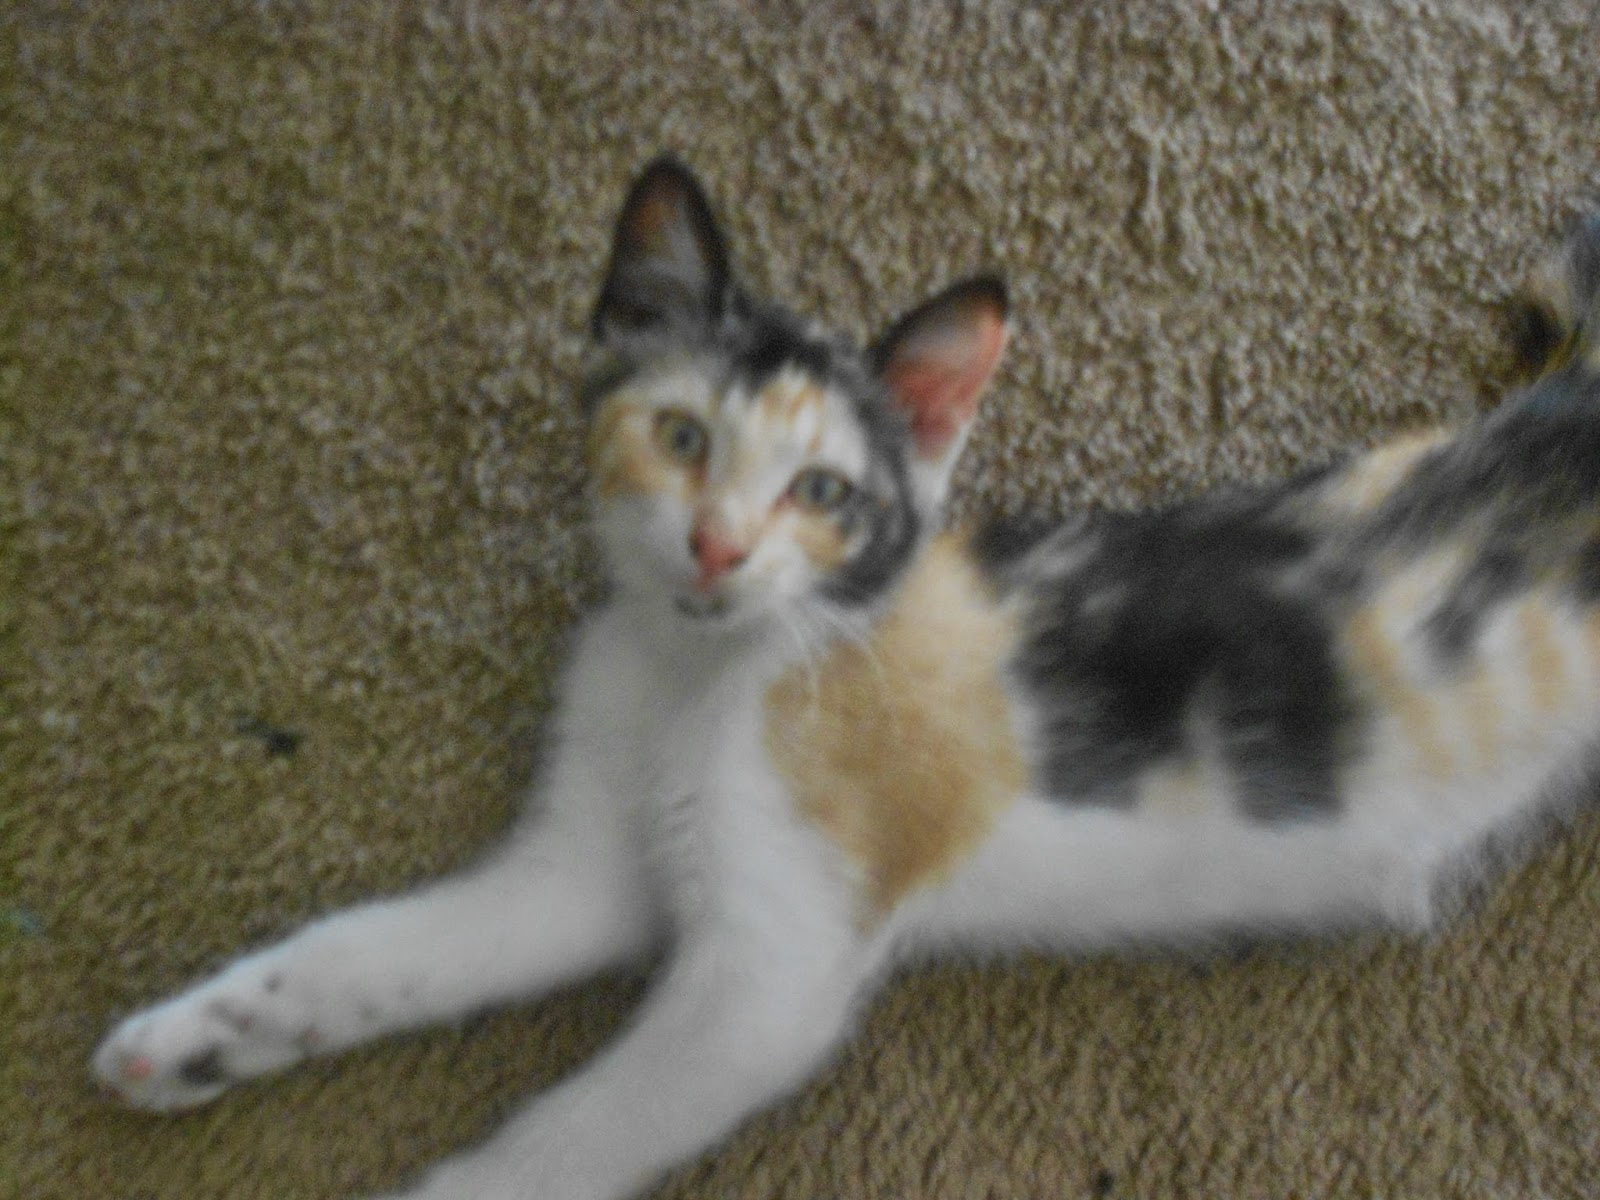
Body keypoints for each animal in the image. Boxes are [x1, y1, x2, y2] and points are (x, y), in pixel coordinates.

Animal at [93, 158, 1600, 1200]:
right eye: (681, 438)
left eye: (821, 491)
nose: (716, 545)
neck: (701, 672)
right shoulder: (576, 874)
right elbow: (376, 952)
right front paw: (198, 1038)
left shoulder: (773, 970)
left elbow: (565, 1137)